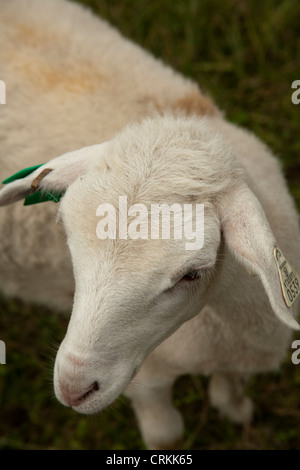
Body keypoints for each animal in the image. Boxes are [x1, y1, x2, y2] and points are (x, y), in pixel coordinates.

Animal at [0, 0, 300, 450]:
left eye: (192, 274)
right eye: (68, 243)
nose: (73, 389)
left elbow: (229, 384)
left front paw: (234, 407)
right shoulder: (148, 376)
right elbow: (167, 436)